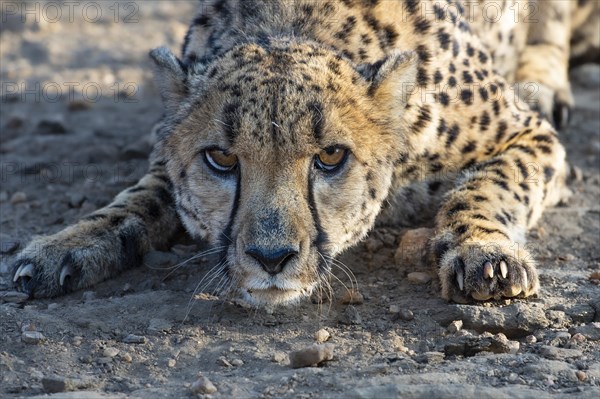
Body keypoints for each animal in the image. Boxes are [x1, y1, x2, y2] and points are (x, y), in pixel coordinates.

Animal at [10, 0, 600, 306]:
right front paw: (71, 242)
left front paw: (486, 252)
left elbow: (485, 188)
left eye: (331, 156)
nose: (271, 259)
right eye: (221, 159)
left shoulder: (528, 137)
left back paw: (543, 81)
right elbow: (142, 197)